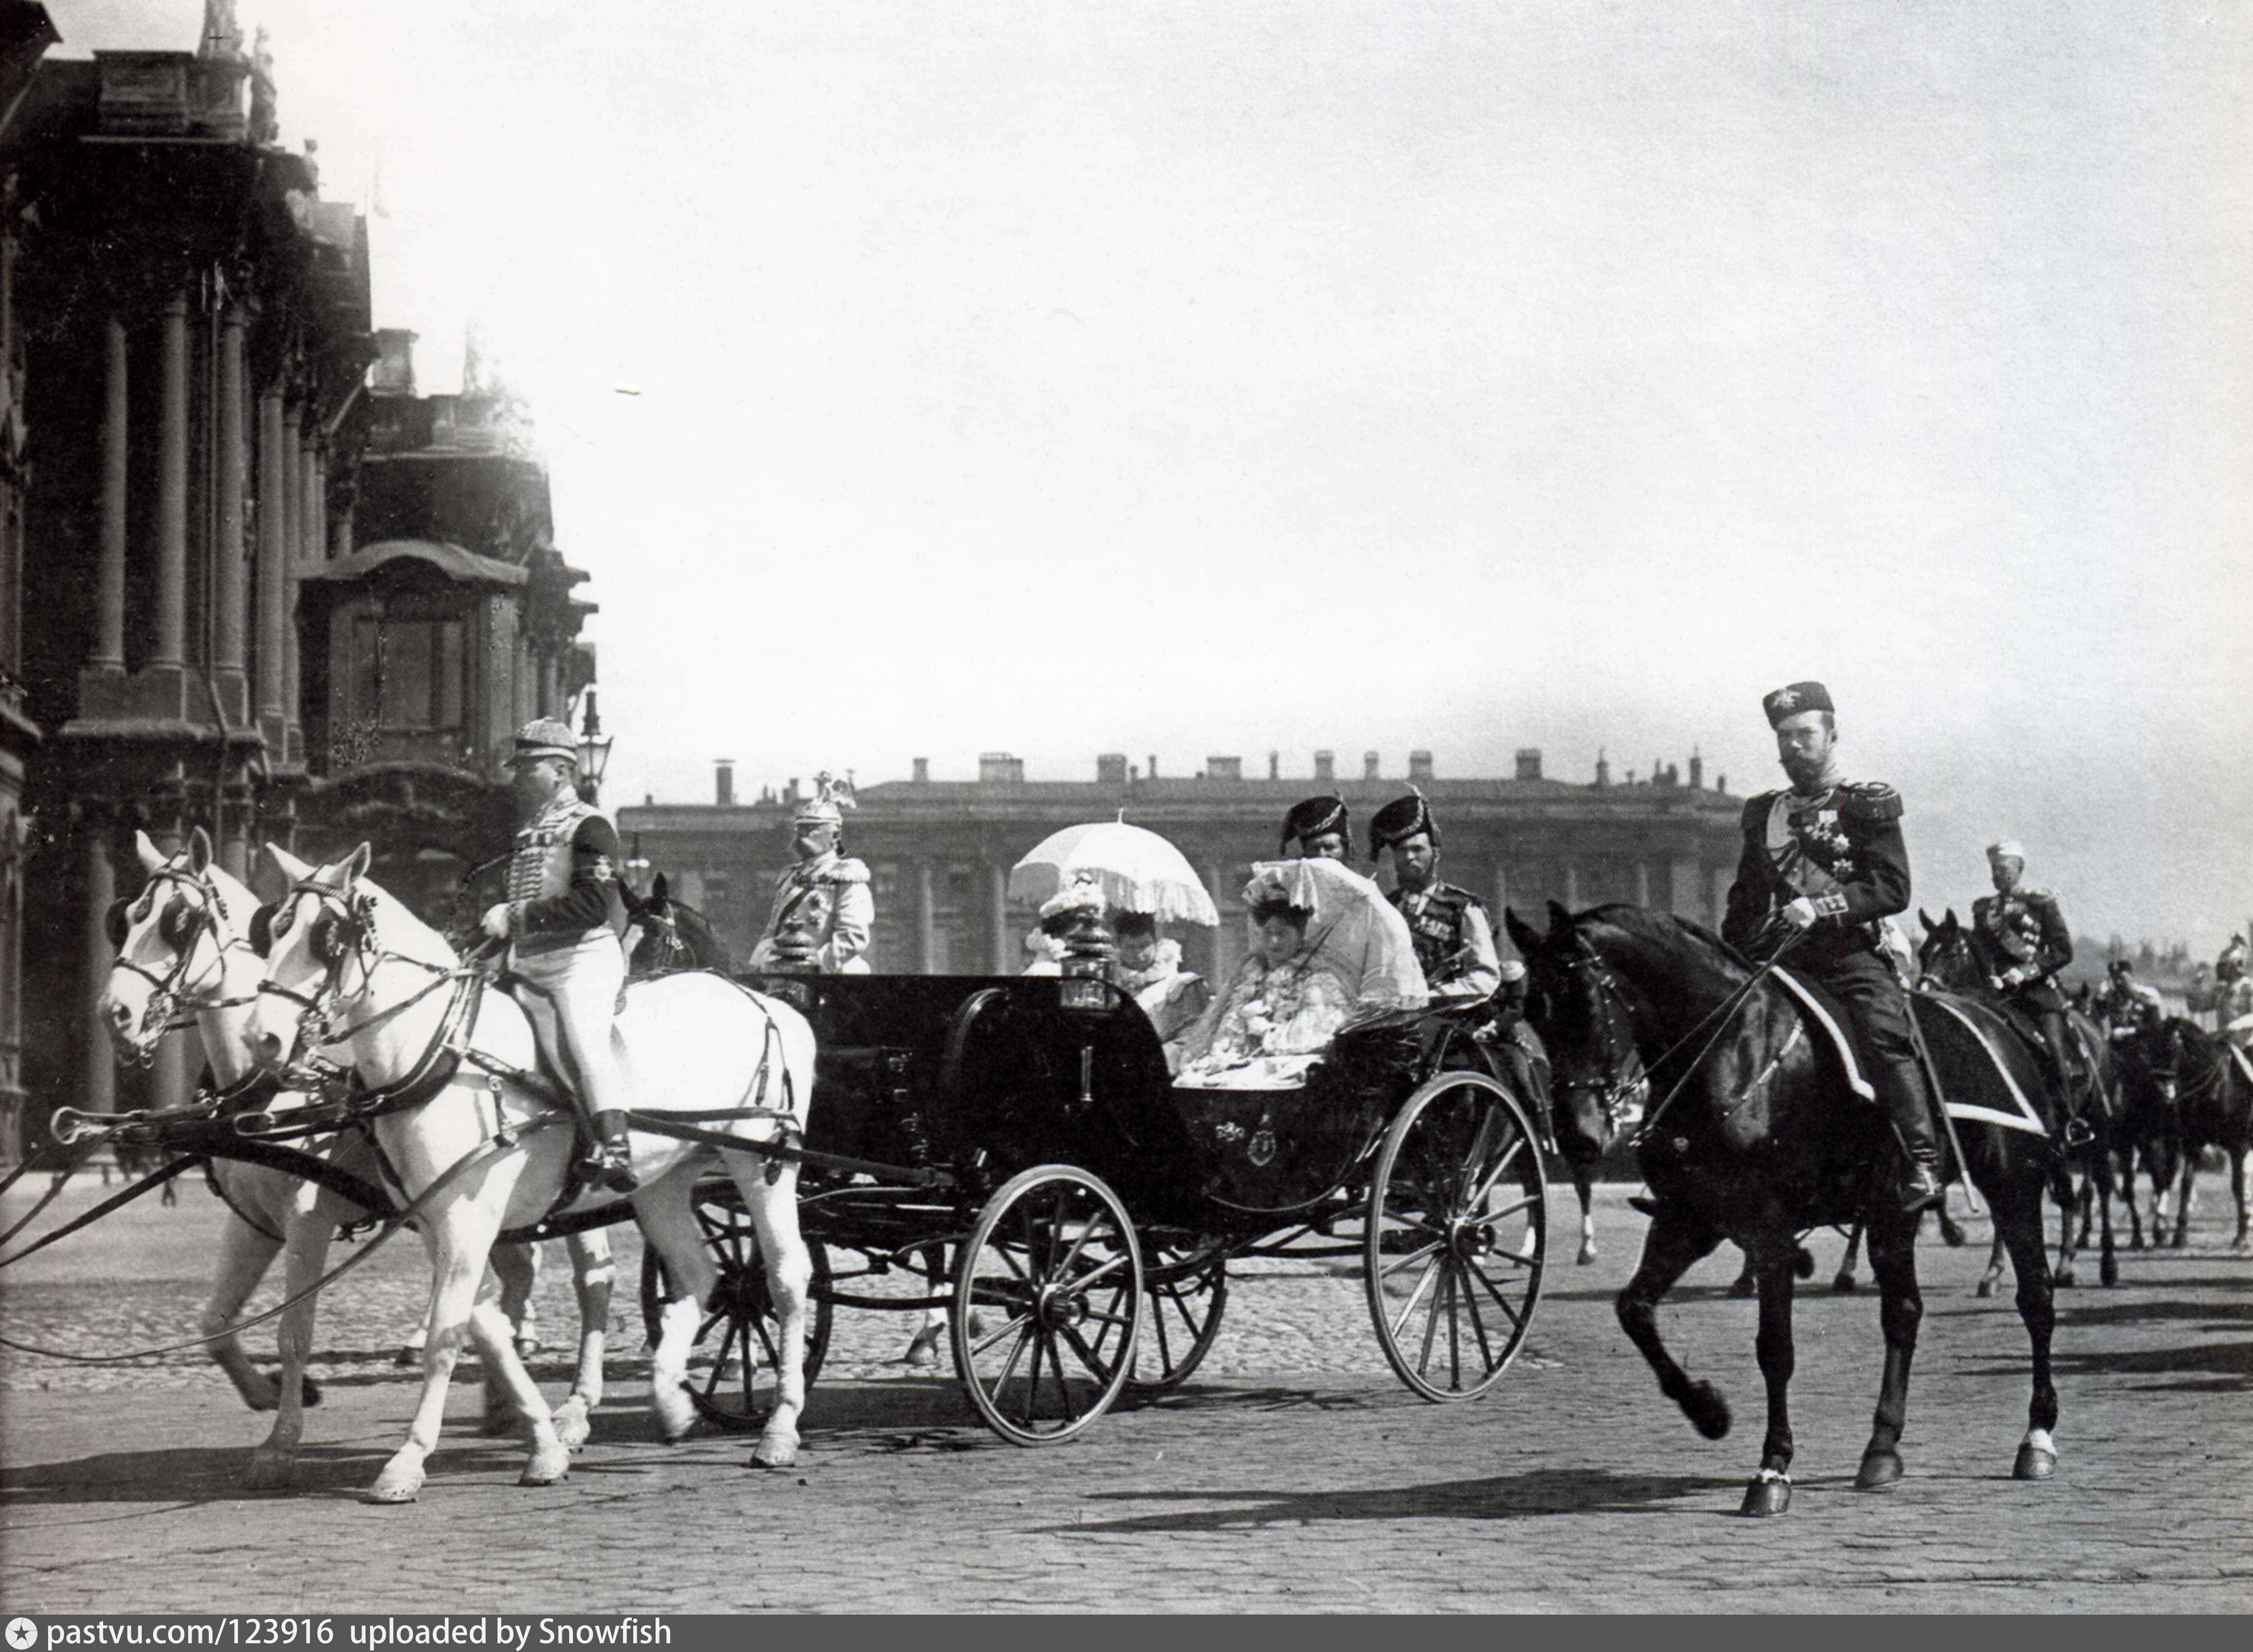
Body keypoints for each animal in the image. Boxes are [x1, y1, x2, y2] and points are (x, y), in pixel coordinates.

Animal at [95, 829, 612, 1487]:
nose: (116, 1014)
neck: (272, 1089)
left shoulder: (308, 1220)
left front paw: (282, 1442)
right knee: (515, 1281)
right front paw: (266, 1393)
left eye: (179, 922)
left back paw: (575, 1410)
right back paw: (509, 1404)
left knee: (593, 1281)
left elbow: (294, 1332)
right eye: (129, 916)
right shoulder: (254, 1223)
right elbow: (215, 1323)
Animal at [247, 838, 820, 1496]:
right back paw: (671, 1400)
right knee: (702, 1275)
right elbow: (484, 1327)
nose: (262, 1039)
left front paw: (409, 1458)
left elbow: (448, 1335)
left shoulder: (466, 1219)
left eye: (325, 936)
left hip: (759, 1163)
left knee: (785, 1277)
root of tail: (765, 1002)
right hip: (661, 1182)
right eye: (276, 928)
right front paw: (545, 1441)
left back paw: (779, 1427)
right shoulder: (441, 1222)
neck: (443, 1051)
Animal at [1514, 901, 2063, 1523]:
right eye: (1533, 1010)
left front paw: (1772, 1468)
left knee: (2036, 1298)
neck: (1728, 1052)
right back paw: (1881, 1449)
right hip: (1892, 1212)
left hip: (2013, 1189)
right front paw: (1709, 1410)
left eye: (1585, 1001)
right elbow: (1634, 1310)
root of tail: (1998, 1020)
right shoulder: (1691, 1220)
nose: (1576, 1137)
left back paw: (2036, 1438)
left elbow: (1775, 1349)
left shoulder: (1768, 1228)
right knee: (1903, 1313)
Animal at [1919, 910, 2109, 1298]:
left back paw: (2087, 1264)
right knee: (2067, 1193)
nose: (1922, 994)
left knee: (2090, 1193)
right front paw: (1992, 1270)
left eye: (1953, 954)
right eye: (1922, 954)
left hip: (2092, 1132)